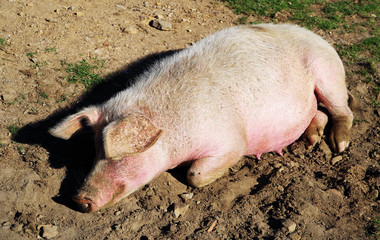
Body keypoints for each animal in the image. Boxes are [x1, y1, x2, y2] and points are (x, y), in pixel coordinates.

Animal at [49, 23, 354, 213]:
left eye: (118, 156)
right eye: (94, 151)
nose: (78, 199)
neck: (173, 128)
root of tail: (317, 36)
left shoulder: (231, 139)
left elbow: (194, 175)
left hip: (329, 73)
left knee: (343, 110)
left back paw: (338, 146)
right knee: (319, 113)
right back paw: (311, 142)